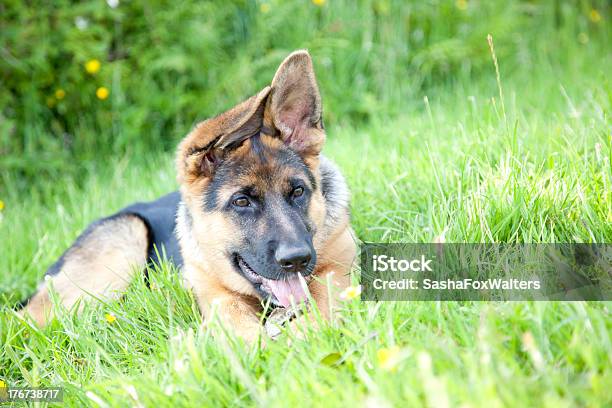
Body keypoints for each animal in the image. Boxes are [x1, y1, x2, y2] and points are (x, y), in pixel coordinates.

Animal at [19, 50, 356, 342]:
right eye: (241, 201)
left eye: (298, 191)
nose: (297, 259)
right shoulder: (219, 298)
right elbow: (240, 329)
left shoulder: (338, 272)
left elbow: (321, 309)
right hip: (122, 246)